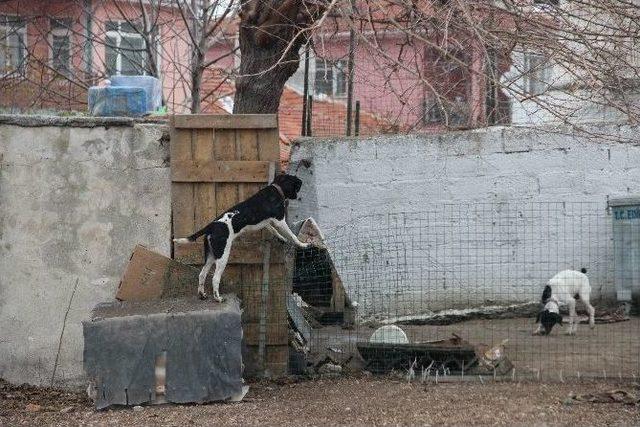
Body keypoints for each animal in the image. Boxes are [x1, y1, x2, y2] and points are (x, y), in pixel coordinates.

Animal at [174, 173, 314, 300]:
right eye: (296, 186)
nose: (296, 196)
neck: (276, 189)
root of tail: (211, 226)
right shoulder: (280, 220)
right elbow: (292, 236)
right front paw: (303, 244)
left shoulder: (266, 222)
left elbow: (274, 230)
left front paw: (282, 238)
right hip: (223, 255)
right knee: (215, 278)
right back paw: (218, 298)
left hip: (211, 255)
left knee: (202, 274)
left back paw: (202, 295)